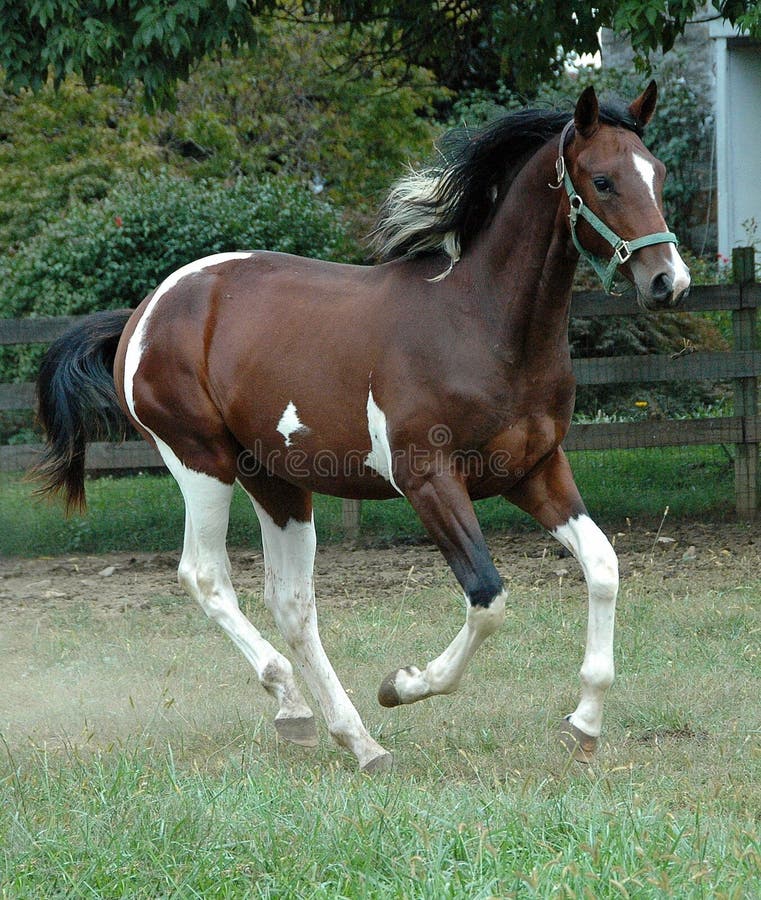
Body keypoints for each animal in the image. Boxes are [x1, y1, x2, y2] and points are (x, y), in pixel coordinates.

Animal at [35, 84, 688, 768]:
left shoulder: (534, 470)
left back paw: (349, 736)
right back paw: (308, 710)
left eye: (659, 174)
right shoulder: (428, 481)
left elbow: (604, 566)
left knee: (292, 603)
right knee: (207, 578)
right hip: (200, 462)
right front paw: (403, 685)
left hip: (276, 480)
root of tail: (144, 313)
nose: (668, 282)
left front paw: (582, 725)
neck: (483, 323)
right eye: (603, 180)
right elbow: (487, 598)